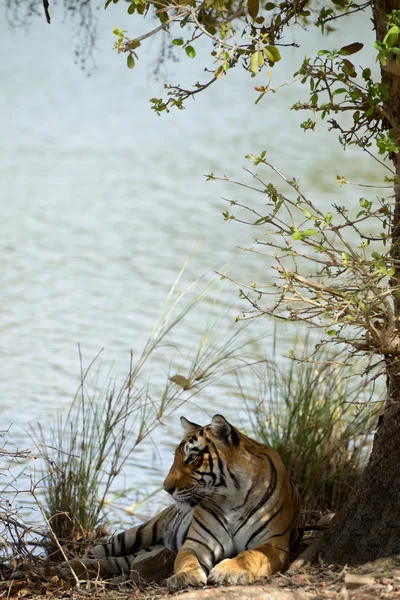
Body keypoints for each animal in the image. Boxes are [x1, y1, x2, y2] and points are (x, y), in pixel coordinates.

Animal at [61, 412, 300, 592]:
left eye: (191, 457)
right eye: (175, 457)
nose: (166, 488)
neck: (233, 497)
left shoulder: (274, 544)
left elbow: (250, 556)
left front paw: (228, 571)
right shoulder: (197, 543)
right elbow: (185, 560)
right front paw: (185, 577)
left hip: (144, 551)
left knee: (117, 562)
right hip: (139, 532)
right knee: (98, 550)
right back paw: (68, 565)